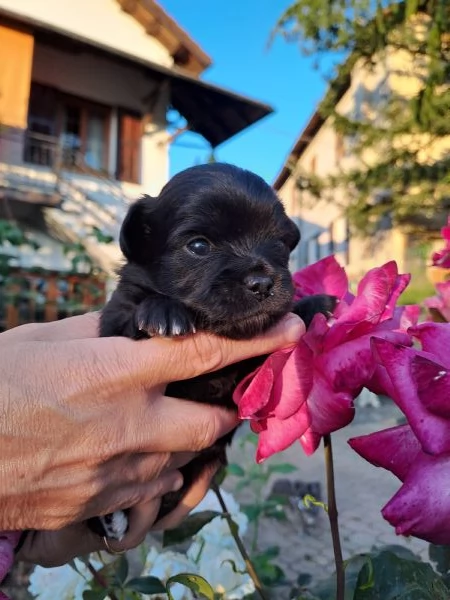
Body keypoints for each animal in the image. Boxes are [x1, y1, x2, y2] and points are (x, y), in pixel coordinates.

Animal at [93, 163, 334, 540]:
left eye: (280, 244)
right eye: (198, 245)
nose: (262, 283)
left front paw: (314, 305)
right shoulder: (115, 321)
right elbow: (135, 314)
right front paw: (162, 310)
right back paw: (111, 519)